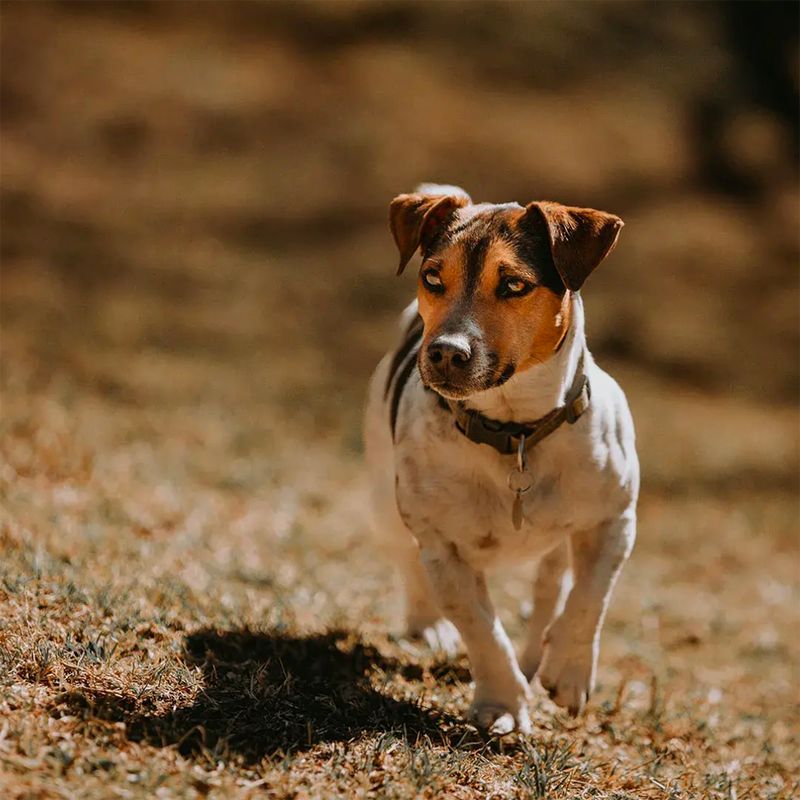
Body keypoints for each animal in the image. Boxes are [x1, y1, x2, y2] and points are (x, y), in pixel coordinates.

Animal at [366, 184, 640, 736]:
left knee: (551, 587)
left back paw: (538, 655)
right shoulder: (443, 548)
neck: (515, 433)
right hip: (386, 503)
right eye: (433, 278)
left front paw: (568, 672)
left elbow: (590, 598)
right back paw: (431, 628)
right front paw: (501, 703)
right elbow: (482, 629)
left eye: (514, 284)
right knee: (407, 562)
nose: (446, 352)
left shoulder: (615, 520)